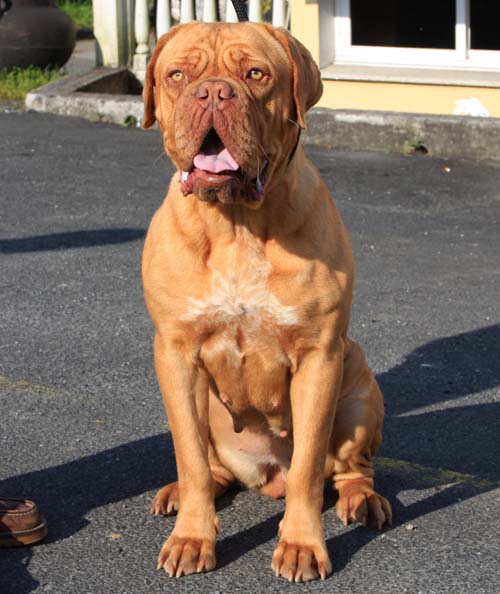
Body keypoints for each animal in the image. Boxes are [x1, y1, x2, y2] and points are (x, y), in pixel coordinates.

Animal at [141, 20, 390, 580]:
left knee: (350, 468)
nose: (214, 92)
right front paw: (192, 537)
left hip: (357, 383)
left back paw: (363, 501)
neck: (236, 224)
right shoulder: (175, 354)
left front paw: (301, 545)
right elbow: (189, 456)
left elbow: (307, 470)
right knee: (208, 466)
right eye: (178, 75)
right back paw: (180, 493)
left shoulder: (320, 357)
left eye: (255, 74)